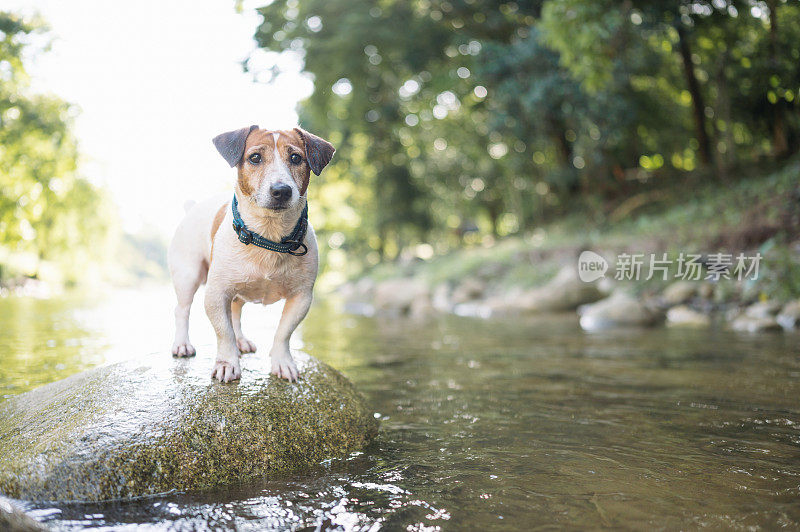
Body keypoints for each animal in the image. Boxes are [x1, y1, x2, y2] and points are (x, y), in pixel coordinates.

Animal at [167, 125, 332, 382]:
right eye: (255, 158)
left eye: (296, 158)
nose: (281, 191)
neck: (268, 237)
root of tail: (191, 208)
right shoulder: (216, 294)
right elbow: (223, 332)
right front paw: (227, 363)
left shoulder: (301, 297)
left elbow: (284, 332)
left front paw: (283, 362)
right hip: (188, 275)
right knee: (182, 310)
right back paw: (182, 344)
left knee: (235, 313)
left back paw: (241, 341)